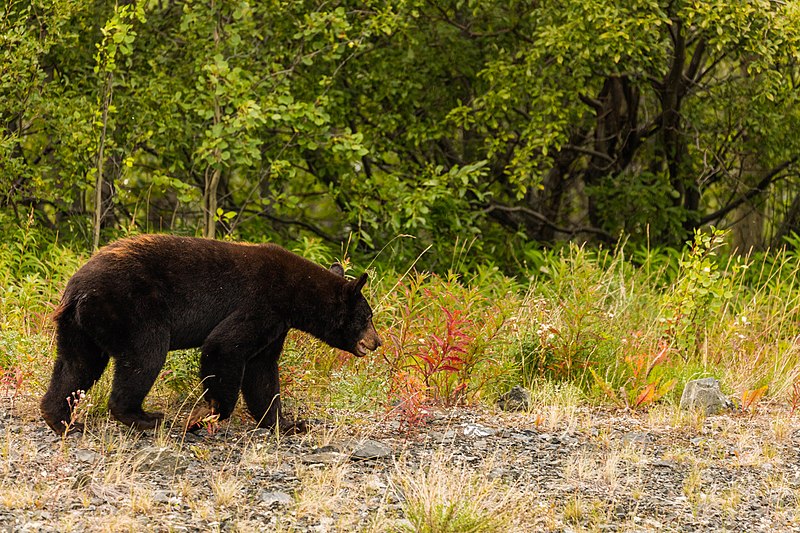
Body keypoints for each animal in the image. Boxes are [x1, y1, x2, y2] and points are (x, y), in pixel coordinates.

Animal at [40, 235, 382, 434]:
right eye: (368, 317)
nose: (376, 342)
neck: (295, 294)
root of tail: (76, 289)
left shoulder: (276, 326)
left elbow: (262, 372)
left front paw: (288, 423)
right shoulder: (259, 304)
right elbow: (224, 347)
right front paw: (205, 416)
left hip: (80, 326)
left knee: (75, 365)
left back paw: (62, 420)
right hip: (131, 307)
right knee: (145, 354)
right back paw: (145, 417)